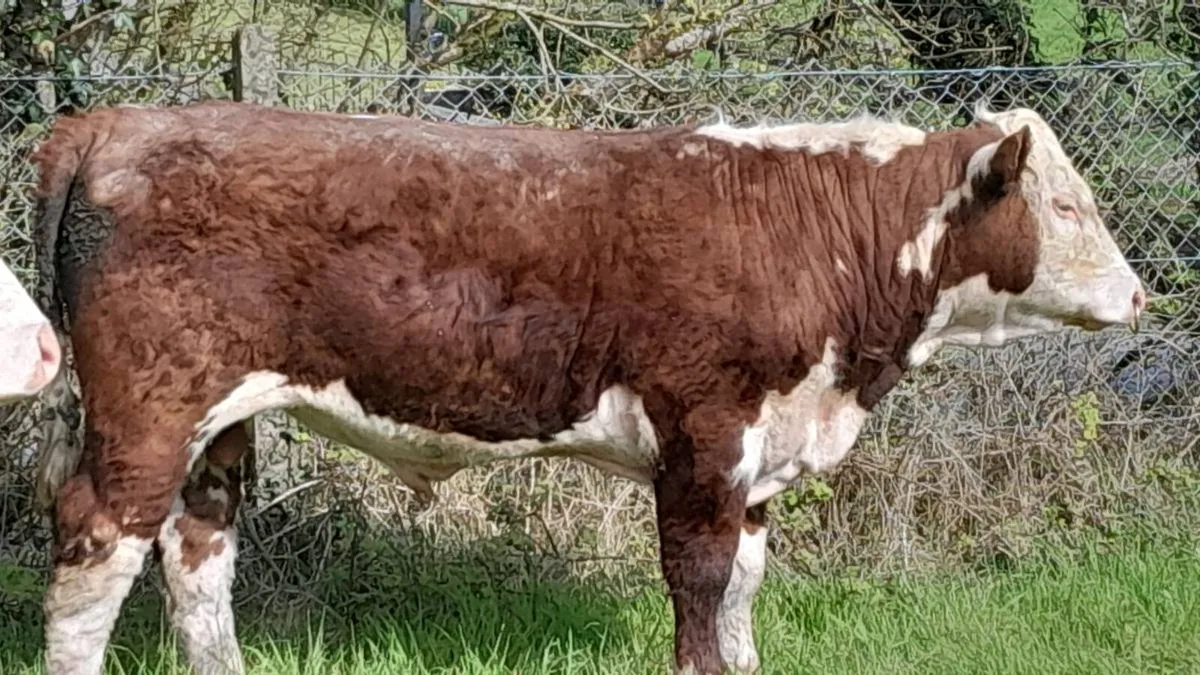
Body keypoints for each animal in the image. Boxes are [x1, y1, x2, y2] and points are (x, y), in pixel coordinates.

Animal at [29, 99, 1145, 675]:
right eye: (1066, 206)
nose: (1140, 294)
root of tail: (119, 122)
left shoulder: (763, 455)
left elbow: (745, 584)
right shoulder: (705, 433)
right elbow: (701, 581)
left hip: (216, 422)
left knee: (196, 547)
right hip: (147, 403)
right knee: (96, 546)